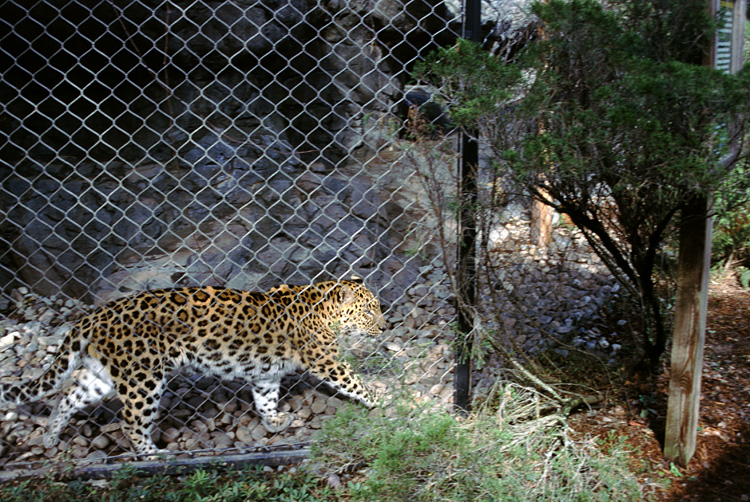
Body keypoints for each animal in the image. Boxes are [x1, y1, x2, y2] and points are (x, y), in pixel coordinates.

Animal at [0, 278, 384, 454]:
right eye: (368, 310)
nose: (383, 327)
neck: (322, 306)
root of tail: (95, 315)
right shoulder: (327, 360)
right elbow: (353, 380)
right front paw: (383, 399)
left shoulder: (265, 372)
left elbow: (265, 398)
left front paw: (275, 422)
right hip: (143, 377)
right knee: (130, 420)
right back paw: (152, 455)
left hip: (103, 375)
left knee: (68, 396)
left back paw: (50, 436)